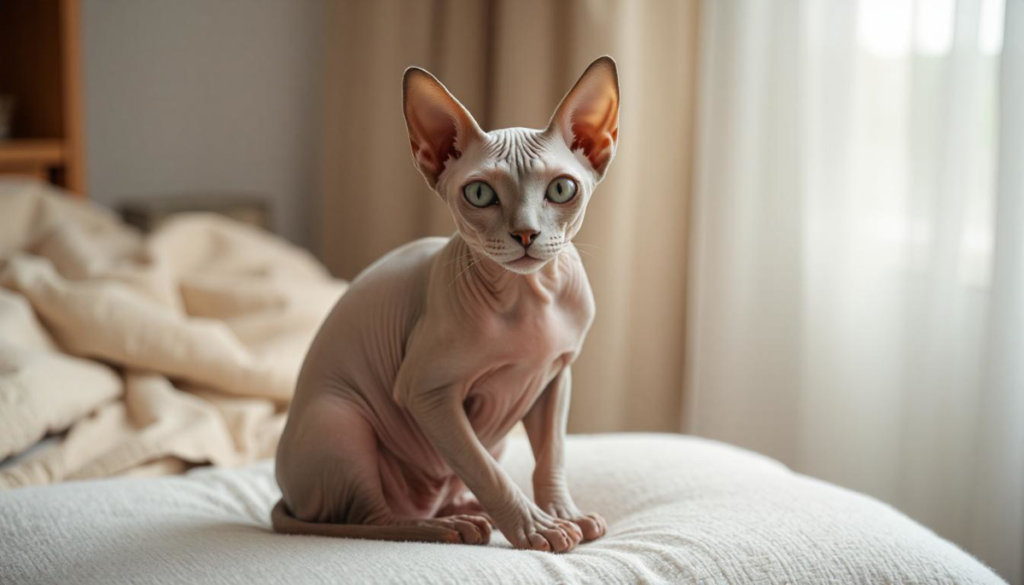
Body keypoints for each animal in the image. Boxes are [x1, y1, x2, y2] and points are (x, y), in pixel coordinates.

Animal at [272, 56, 618, 553]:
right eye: (480, 194)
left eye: (560, 190)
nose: (526, 233)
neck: (530, 297)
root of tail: (287, 495)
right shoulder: (427, 393)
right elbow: (485, 470)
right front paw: (536, 527)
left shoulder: (555, 377)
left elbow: (551, 456)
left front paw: (562, 512)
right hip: (339, 418)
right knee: (373, 517)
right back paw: (449, 526)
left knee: (437, 490)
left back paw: (467, 510)